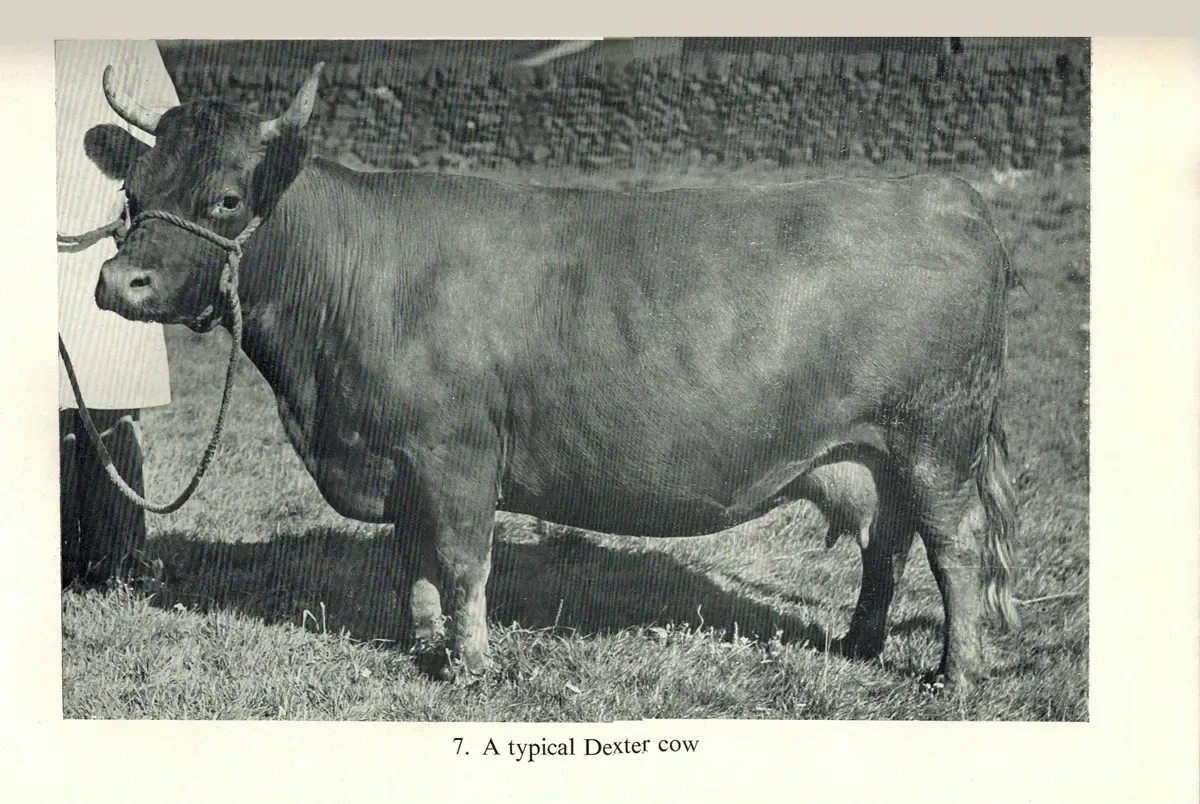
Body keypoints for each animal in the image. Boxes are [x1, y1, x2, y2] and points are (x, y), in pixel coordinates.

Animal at [85, 62, 1018, 693]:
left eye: (227, 198)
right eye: (133, 190)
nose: (119, 283)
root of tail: (948, 195)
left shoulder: (457, 456)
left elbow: (465, 563)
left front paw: (473, 665)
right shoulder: (398, 459)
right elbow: (414, 563)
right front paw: (423, 646)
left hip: (937, 444)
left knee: (956, 548)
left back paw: (955, 675)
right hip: (880, 452)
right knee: (888, 542)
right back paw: (861, 644)